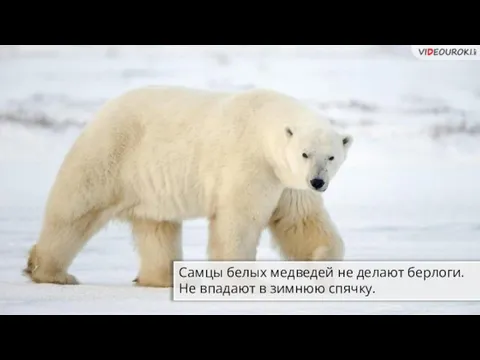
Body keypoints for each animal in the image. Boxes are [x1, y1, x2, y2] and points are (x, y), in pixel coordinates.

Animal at [23, 86, 352, 288]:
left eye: (331, 156)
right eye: (305, 153)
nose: (318, 181)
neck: (263, 127)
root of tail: (102, 112)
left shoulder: (286, 181)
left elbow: (299, 219)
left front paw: (323, 261)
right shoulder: (252, 165)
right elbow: (239, 220)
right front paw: (239, 276)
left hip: (148, 185)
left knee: (157, 228)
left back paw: (161, 278)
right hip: (111, 155)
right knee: (74, 211)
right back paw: (50, 272)